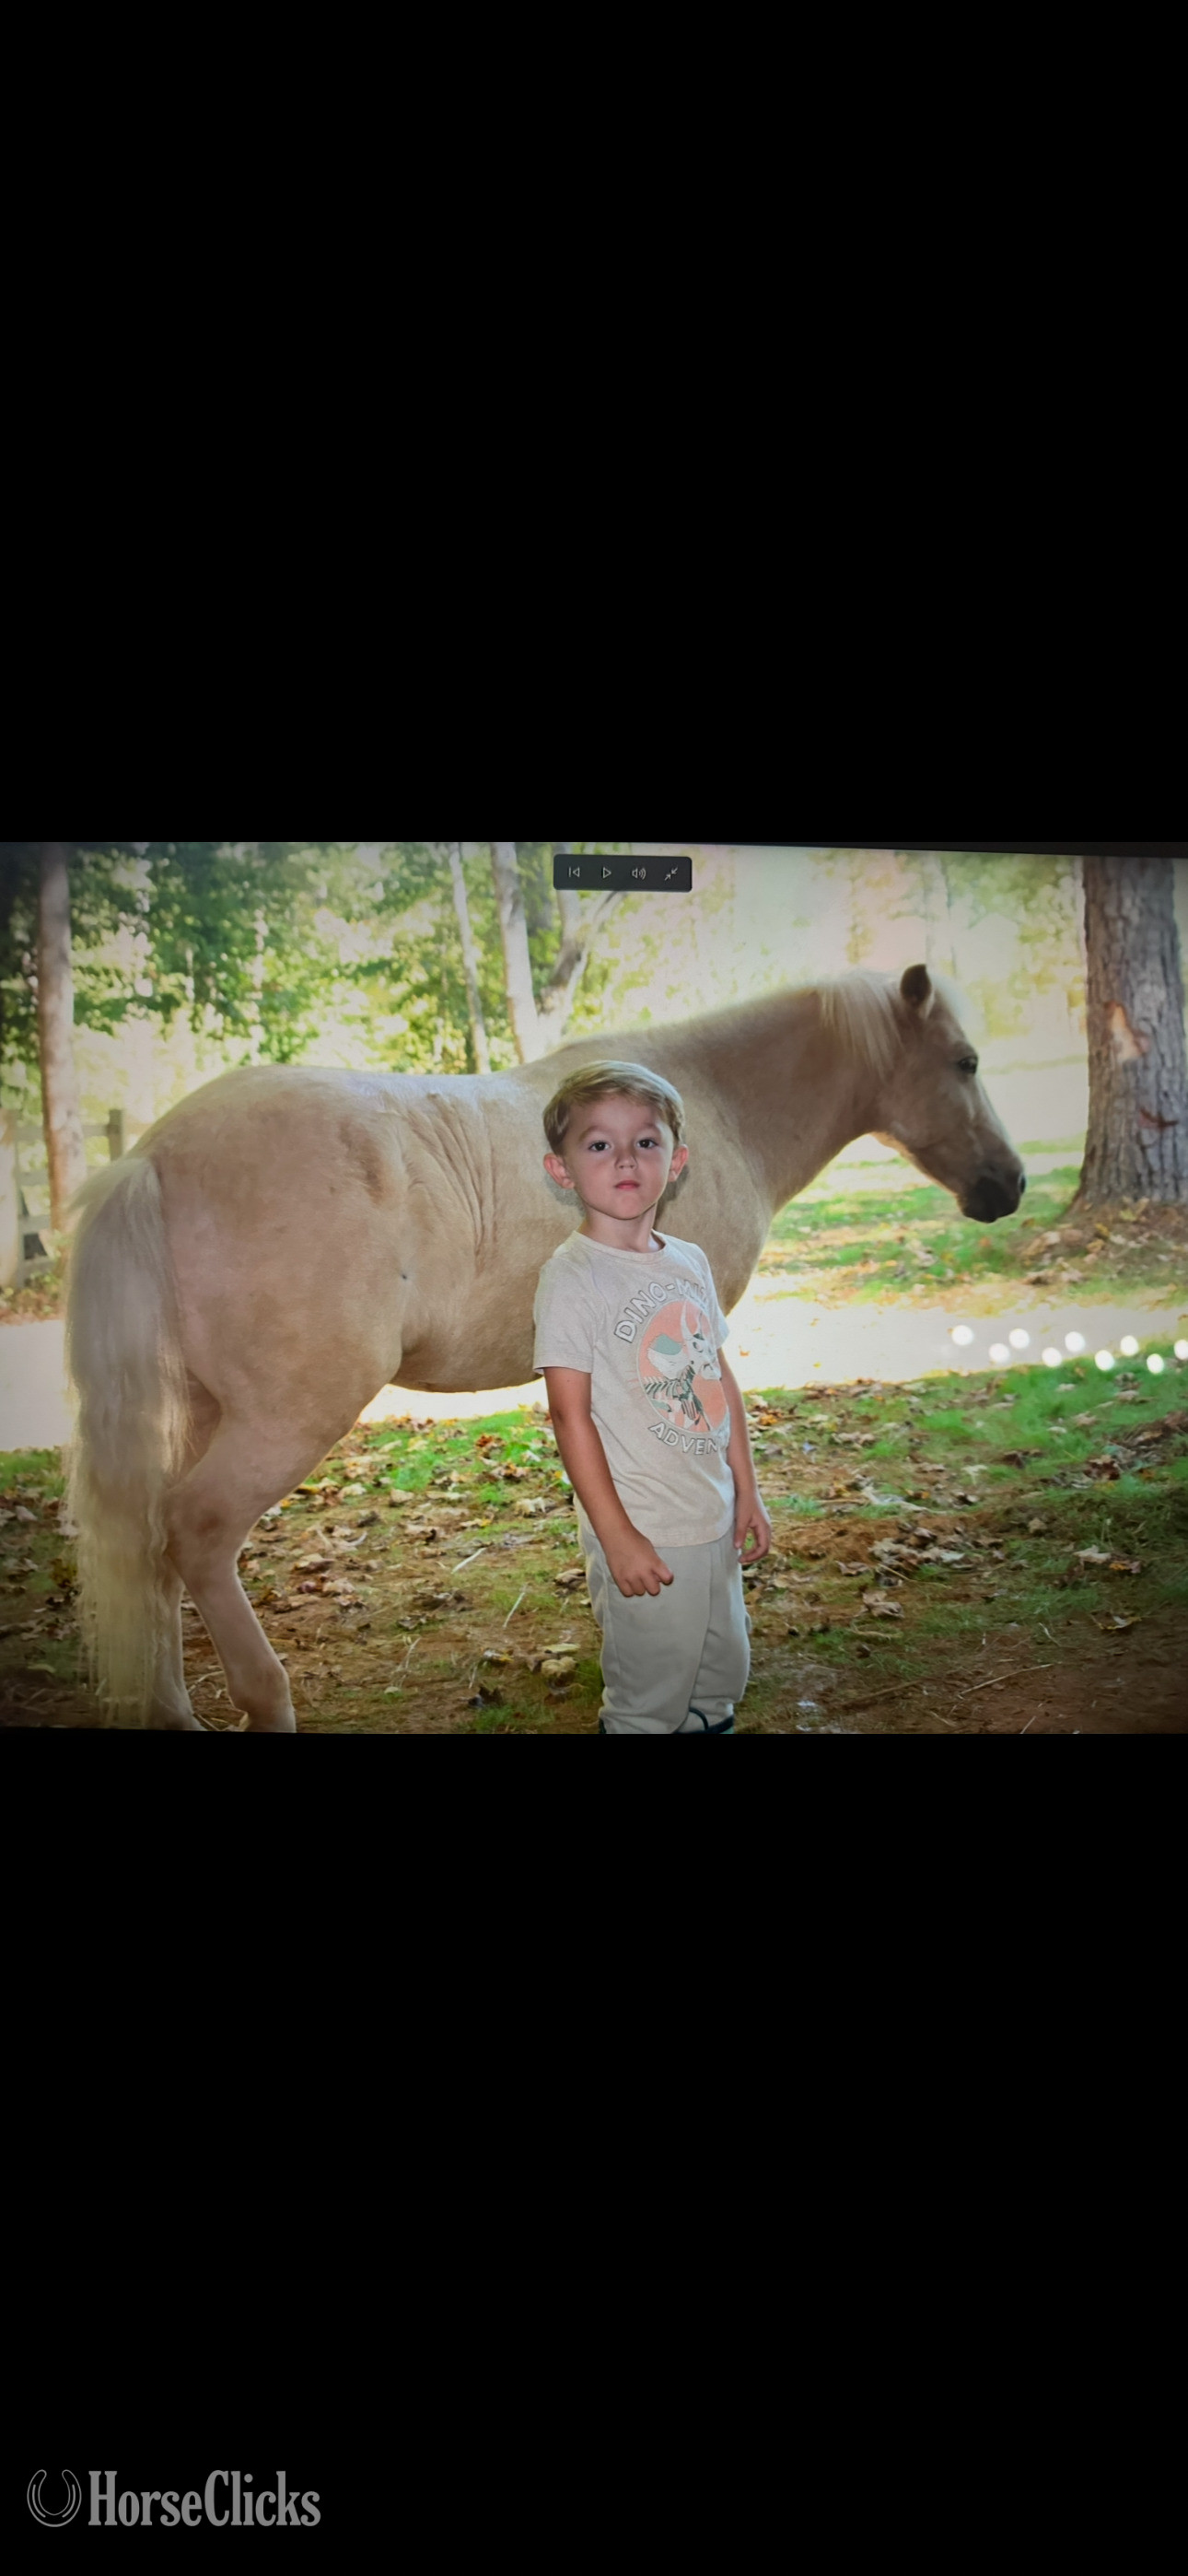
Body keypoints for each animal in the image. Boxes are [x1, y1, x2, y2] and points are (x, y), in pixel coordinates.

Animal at [64, 964, 1024, 1730]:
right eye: (966, 1062)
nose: (1008, 1186)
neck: (716, 1099)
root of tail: (152, 1156)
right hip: (286, 1419)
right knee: (195, 1532)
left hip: (198, 1412)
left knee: (147, 1548)